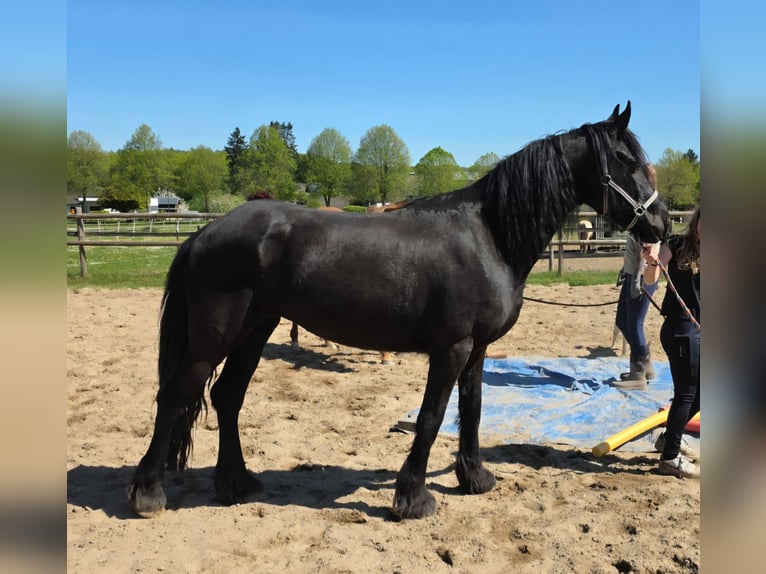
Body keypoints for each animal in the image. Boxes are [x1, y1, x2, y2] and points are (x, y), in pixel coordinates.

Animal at [128, 102, 670, 519]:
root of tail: (204, 233)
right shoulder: (451, 349)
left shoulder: (477, 351)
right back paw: (148, 493)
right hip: (214, 337)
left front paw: (475, 478)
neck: (488, 234)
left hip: (255, 331)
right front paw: (412, 498)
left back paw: (236, 484)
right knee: (175, 397)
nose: (662, 225)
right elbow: (431, 417)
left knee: (227, 398)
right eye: (624, 158)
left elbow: (472, 411)